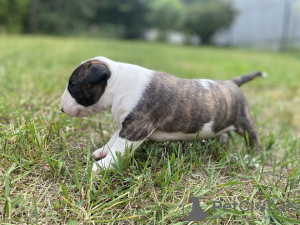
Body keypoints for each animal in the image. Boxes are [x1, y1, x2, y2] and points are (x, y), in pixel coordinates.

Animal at [61, 57, 264, 171]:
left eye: (73, 84)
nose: (61, 109)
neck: (119, 82)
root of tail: (232, 83)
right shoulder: (126, 125)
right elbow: (113, 139)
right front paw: (101, 151)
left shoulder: (136, 128)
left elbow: (118, 148)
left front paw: (101, 166)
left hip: (244, 121)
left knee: (254, 138)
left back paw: (253, 159)